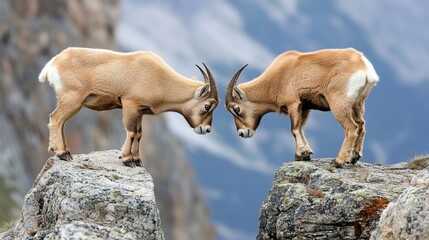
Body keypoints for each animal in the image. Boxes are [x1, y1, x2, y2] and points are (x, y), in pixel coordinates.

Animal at [39, 47, 219, 167]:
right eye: (207, 106)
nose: (206, 129)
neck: (161, 79)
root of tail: (54, 63)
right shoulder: (130, 104)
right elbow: (132, 132)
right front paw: (127, 159)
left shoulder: (140, 111)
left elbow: (139, 134)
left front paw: (136, 159)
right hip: (73, 98)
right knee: (56, 119)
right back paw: (62, 153)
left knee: (61, 122)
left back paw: (63, 150)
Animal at [224, 48, 378, 168]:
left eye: (236, 109)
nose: (242, 133)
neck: (276, 77)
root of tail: (365, 68)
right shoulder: (305, 108)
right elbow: (301, 128)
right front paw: (306, 153)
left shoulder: (293, 104)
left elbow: (294, 129)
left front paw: (300, 154)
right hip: (357, 105)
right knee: (361, 126)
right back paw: (353, 158)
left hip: (339, 104)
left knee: (352, 128)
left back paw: (338, 161)